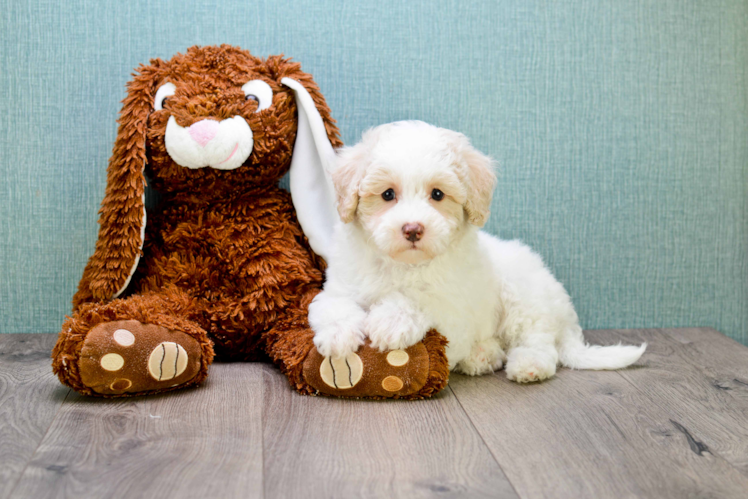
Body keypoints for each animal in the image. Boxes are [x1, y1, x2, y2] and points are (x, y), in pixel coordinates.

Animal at [310, 121, 644, 382]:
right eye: (388, 194)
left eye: (437, 194)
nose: (413, 229)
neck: (405, 265)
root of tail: (566, 317)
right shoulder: (342, 283)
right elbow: (331, 304)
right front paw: (338, 335)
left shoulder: (453, 310)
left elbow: (421, 300)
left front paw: (392, 320)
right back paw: (481, 356)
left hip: (524, 295)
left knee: (538, 341)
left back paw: (528, 365)